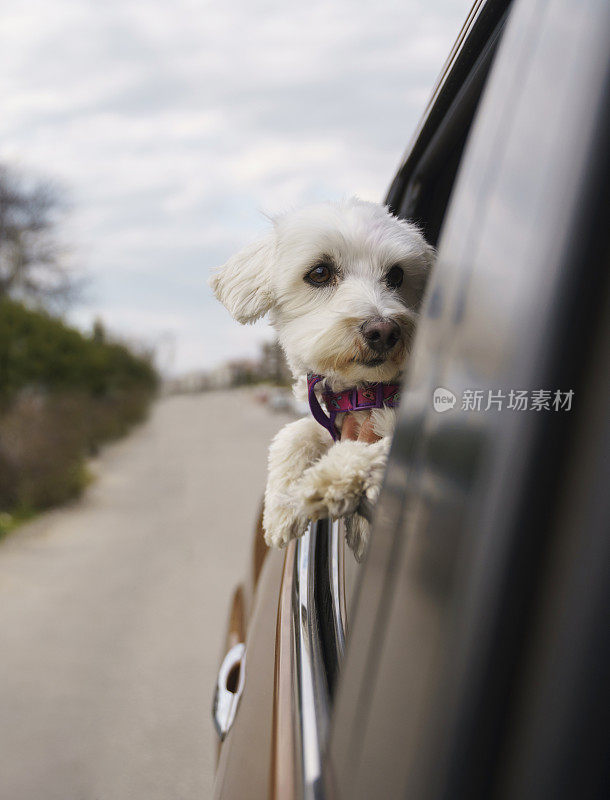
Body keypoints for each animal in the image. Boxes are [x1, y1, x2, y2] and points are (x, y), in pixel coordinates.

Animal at [210, 198, 432, 560]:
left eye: (397, 275)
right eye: (319, 273)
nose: (384, 331)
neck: (368, 390)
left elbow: (377, 452)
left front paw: (322, 483)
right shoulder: (332, 421)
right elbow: (294, 432)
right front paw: (280, 505)